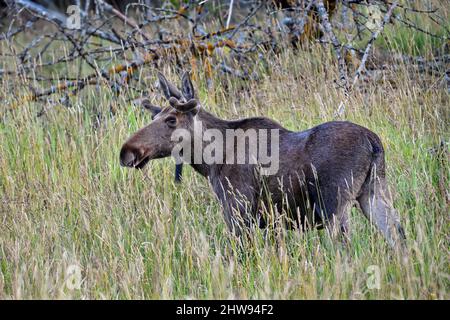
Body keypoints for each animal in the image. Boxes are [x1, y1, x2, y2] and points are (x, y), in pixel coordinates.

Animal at [118, 72, 404, 248]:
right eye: (155, 116)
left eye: (171, 119)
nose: (127, 151)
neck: (209, 161)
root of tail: (374, 143)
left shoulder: (238, 209)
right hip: (373, 192)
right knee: (398, 235)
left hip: (335, 204)